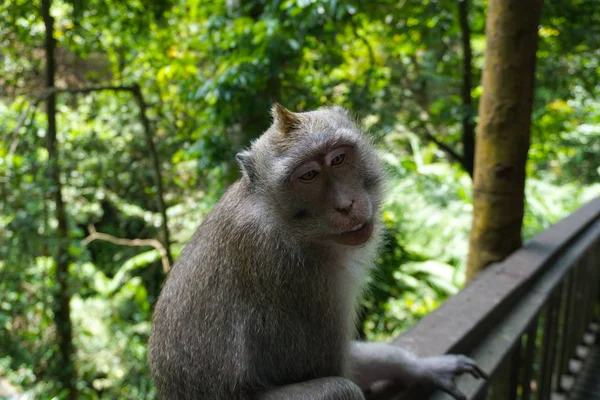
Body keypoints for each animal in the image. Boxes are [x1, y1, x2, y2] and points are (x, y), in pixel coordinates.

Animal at [148, 104, 486, 398]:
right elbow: (334, 371)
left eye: (338, 159)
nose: (346, 204)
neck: (284, 222)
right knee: (341, 389)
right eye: (308, 175)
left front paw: (423, 368)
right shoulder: (293, 276)